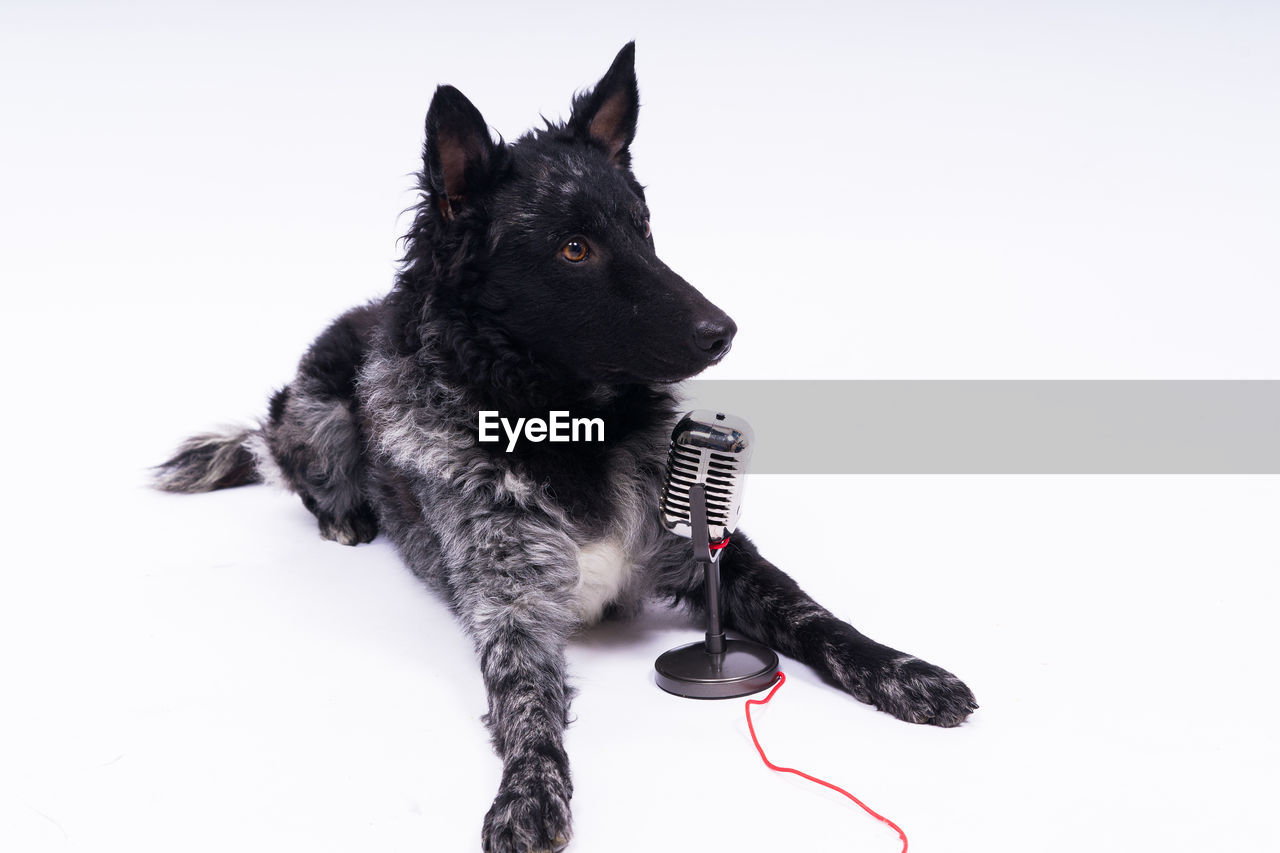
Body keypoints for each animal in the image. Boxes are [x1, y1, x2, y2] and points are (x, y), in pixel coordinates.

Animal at [160, 44, 977, 850]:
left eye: (643, 230)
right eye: (575, 249)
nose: (724, 331)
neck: (566, 423)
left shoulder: (710, 547)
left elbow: (815, 615)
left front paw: (904, 671)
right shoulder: (511, 605)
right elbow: (527, 703)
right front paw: (527, 792)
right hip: (318, 413)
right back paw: (344, 515)